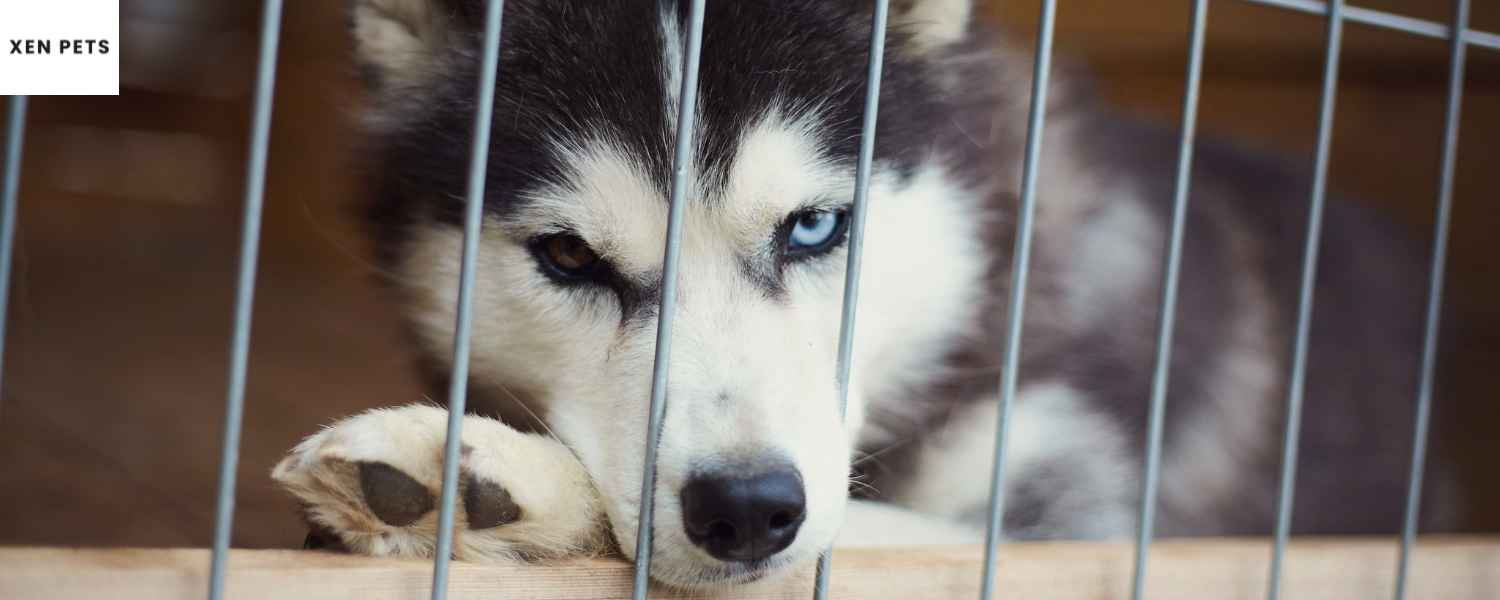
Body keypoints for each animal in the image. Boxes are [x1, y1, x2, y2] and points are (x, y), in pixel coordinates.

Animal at [270, 0, 1452, 588]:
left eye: (812, 227)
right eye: (569, 258)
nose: (749, 508)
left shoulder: (1091, 513)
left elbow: (873, 531)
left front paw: (495, 485)